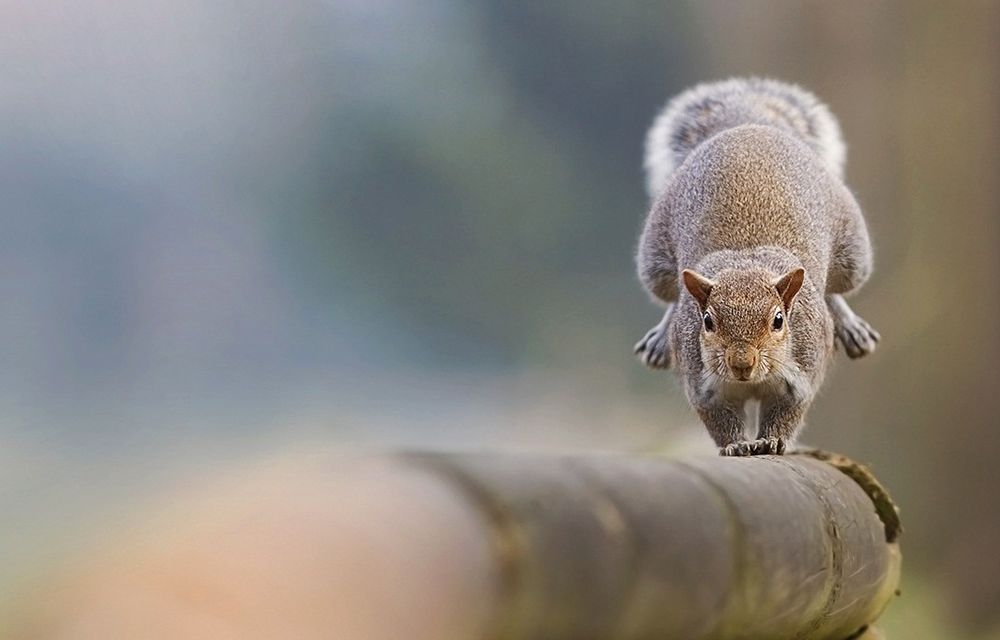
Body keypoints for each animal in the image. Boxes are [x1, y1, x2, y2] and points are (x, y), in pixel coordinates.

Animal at [633, 78, 880, 456]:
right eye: (707, 321)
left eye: (779, 320)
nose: (741, 363)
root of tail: (749, 126)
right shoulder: (702, 385)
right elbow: (719, 420)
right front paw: (736, 446)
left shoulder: (801, 375)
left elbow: (788, 414)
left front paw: (771, 440)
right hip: (656, 261)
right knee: (672, 295)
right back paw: (661, 337)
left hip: (853, 255)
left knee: (835, 289)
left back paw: (849, 324)